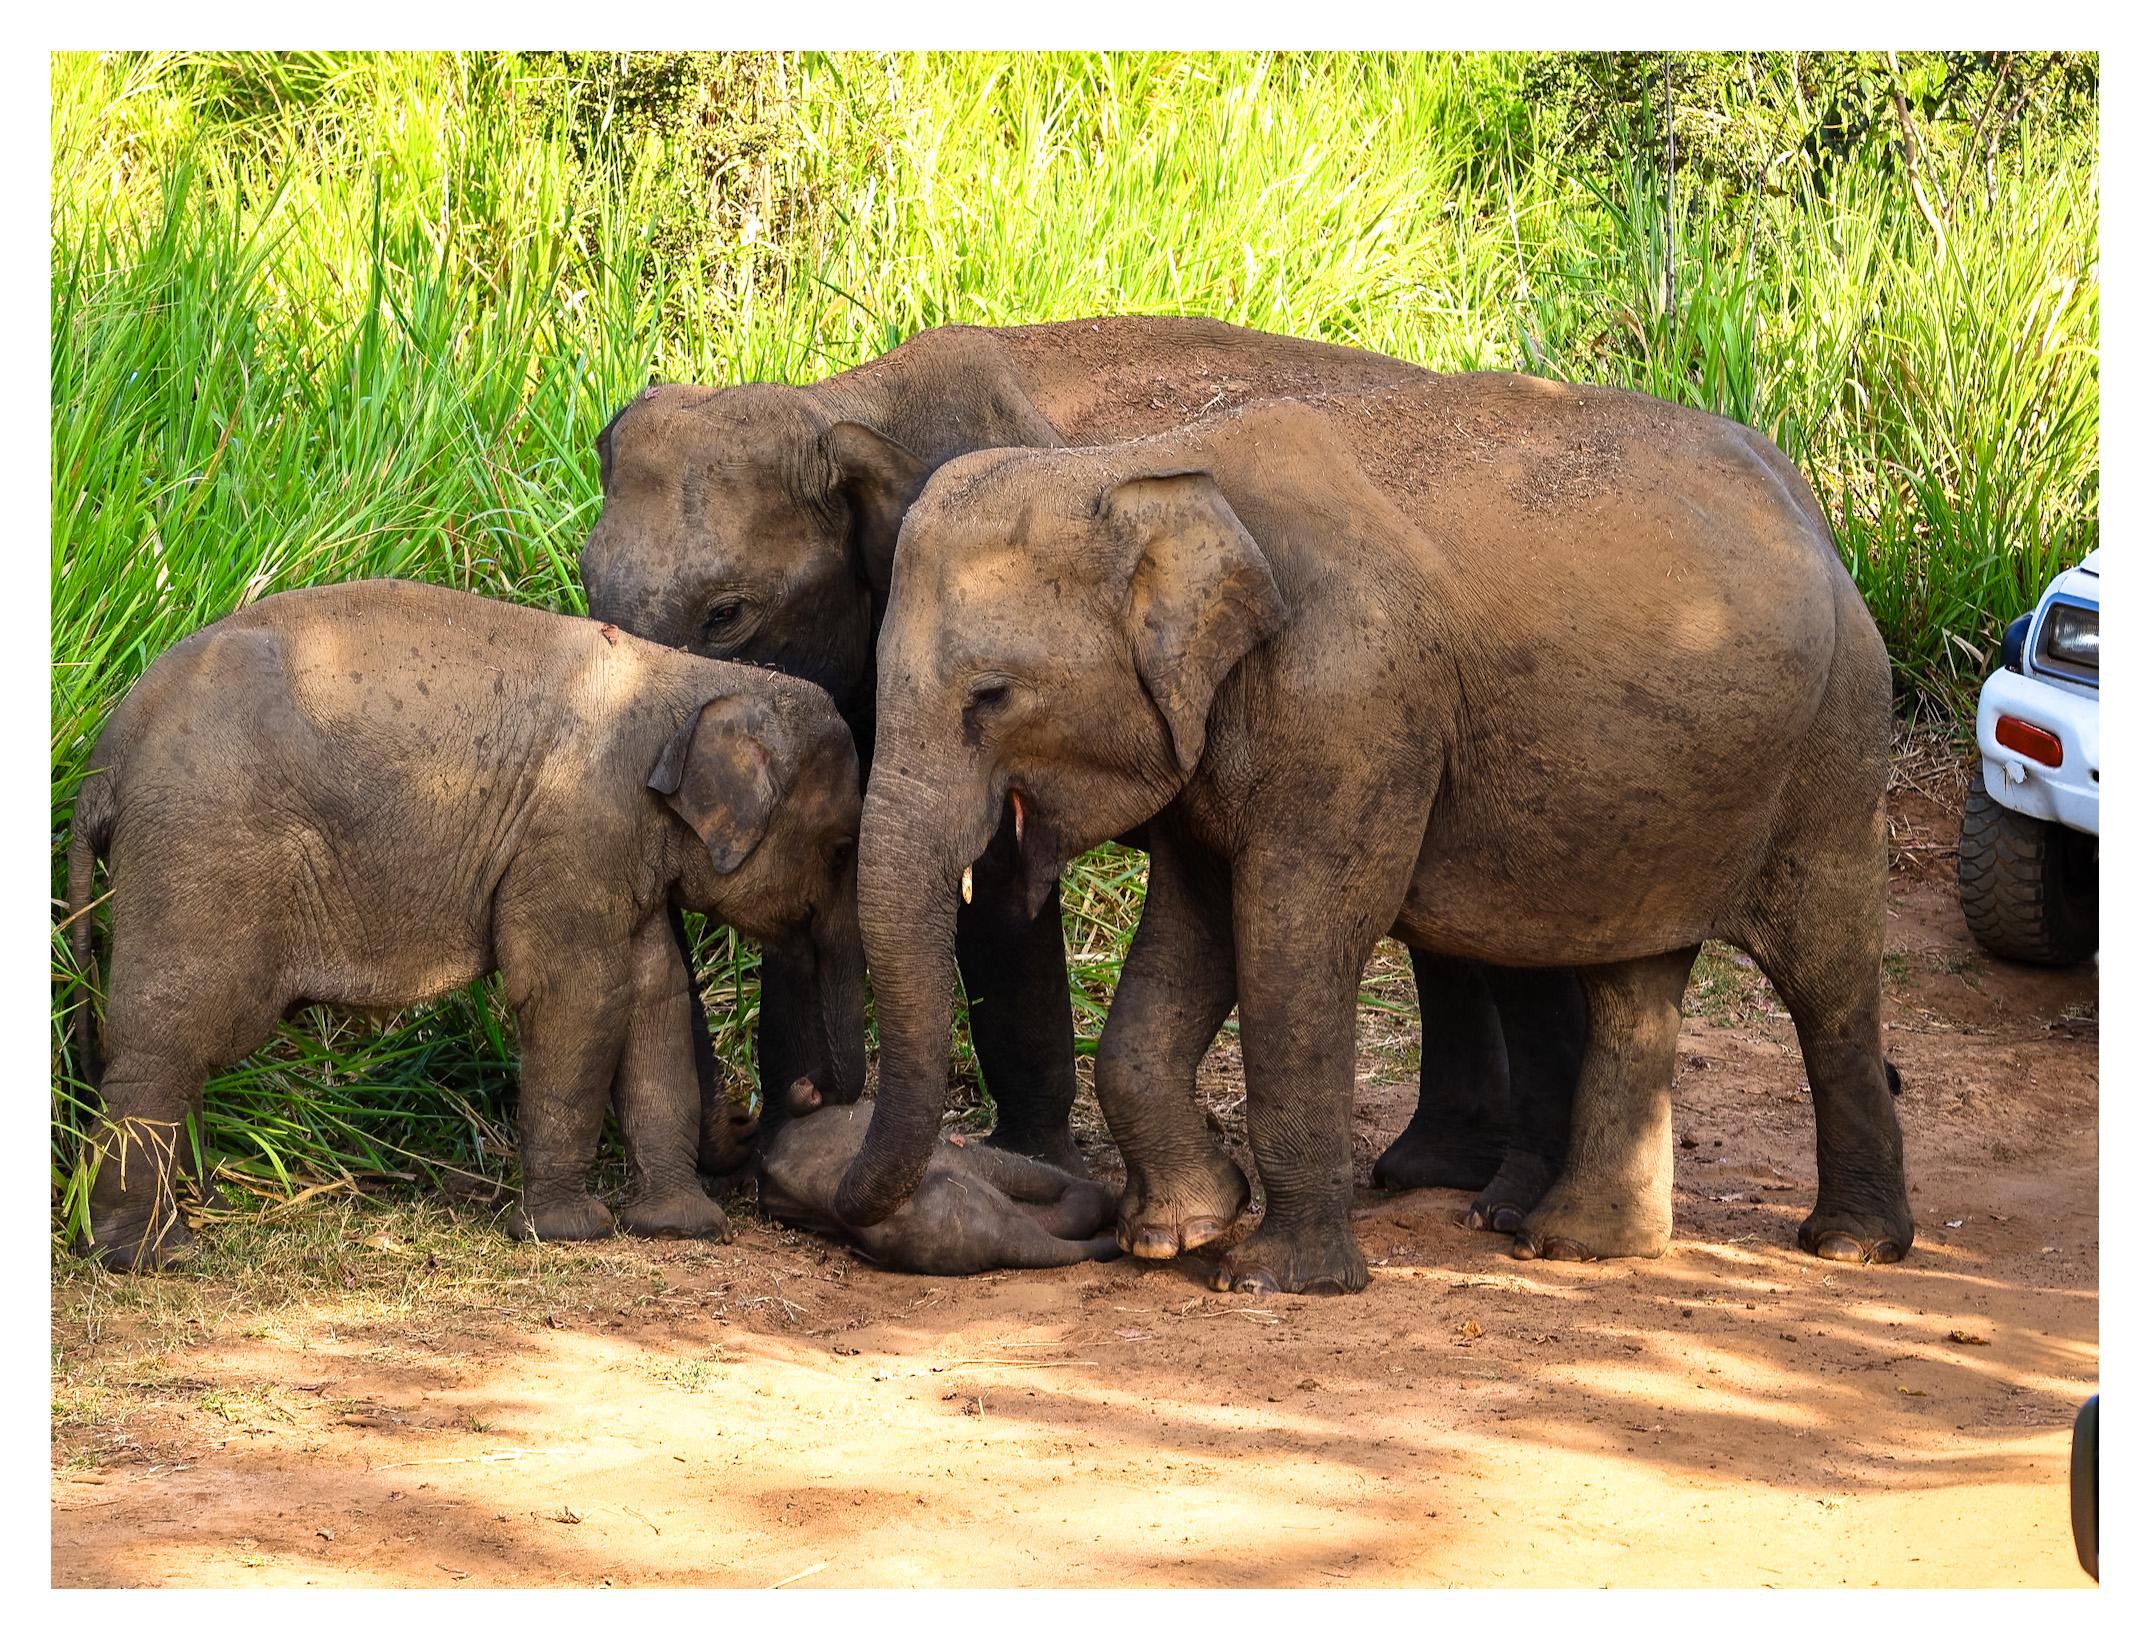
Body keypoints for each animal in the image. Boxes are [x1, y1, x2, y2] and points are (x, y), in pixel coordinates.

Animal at [61, 580, 865, 1271]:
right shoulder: (575, 826)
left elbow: (654, 995)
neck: (686, 680)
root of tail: (108, 753)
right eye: (839, 850)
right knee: (172, 1036)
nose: (802, 1096)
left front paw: (680, 1228)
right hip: (201, 845)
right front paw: (568, 1233)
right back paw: (148, 1257)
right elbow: (576, 997)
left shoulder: (619, 845)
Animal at [577, 315, 1586, 1209]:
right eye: (584, 587)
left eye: (725, 615)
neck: (848, 402)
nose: (758, 1121)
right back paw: (1436, 1170)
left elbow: (995, 900)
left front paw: (1035, 1163)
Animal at [834, 373, 1912, 1296]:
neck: (1150, 464)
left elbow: (1295, 938)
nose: (846, 1201)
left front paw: (1268, 1276)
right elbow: (1189, 941)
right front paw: (1178, 1230)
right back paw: (1576, 1245)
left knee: (1824, 977)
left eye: (990, 695)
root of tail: (1814, 513)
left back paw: (1848, 1245)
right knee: (1634, 980)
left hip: (1835, 745)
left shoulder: (1351, 705)